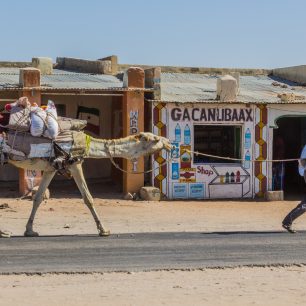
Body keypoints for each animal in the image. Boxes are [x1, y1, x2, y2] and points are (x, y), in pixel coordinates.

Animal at [1, 131, 171, 237]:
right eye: (155, 138)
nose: (169, 142)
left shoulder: (51, 168)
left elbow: (38, 198)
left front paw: (30, 231)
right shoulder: (74, 163)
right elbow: (88, 198)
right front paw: (104, 230)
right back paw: (4, 232)